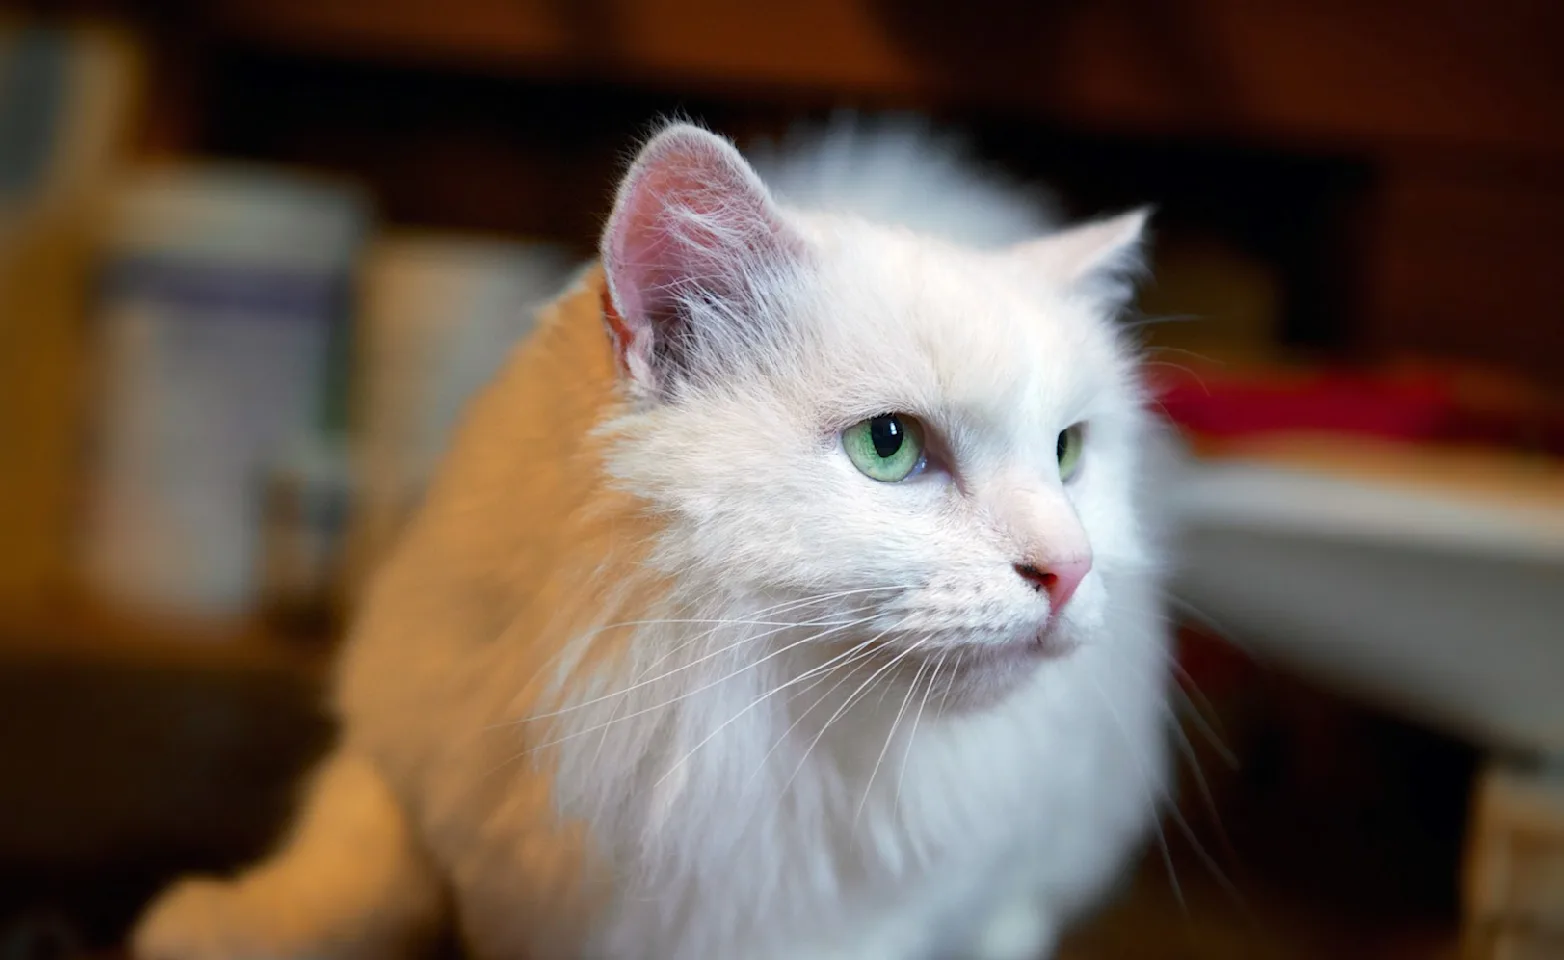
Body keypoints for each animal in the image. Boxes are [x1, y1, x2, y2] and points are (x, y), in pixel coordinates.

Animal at [134, 120, 1169, 960]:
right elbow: (357, 862)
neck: (679, 721)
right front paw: (222, 926)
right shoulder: (420, 733)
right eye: (889, 445)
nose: (1069, 569)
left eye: (1068, 453)